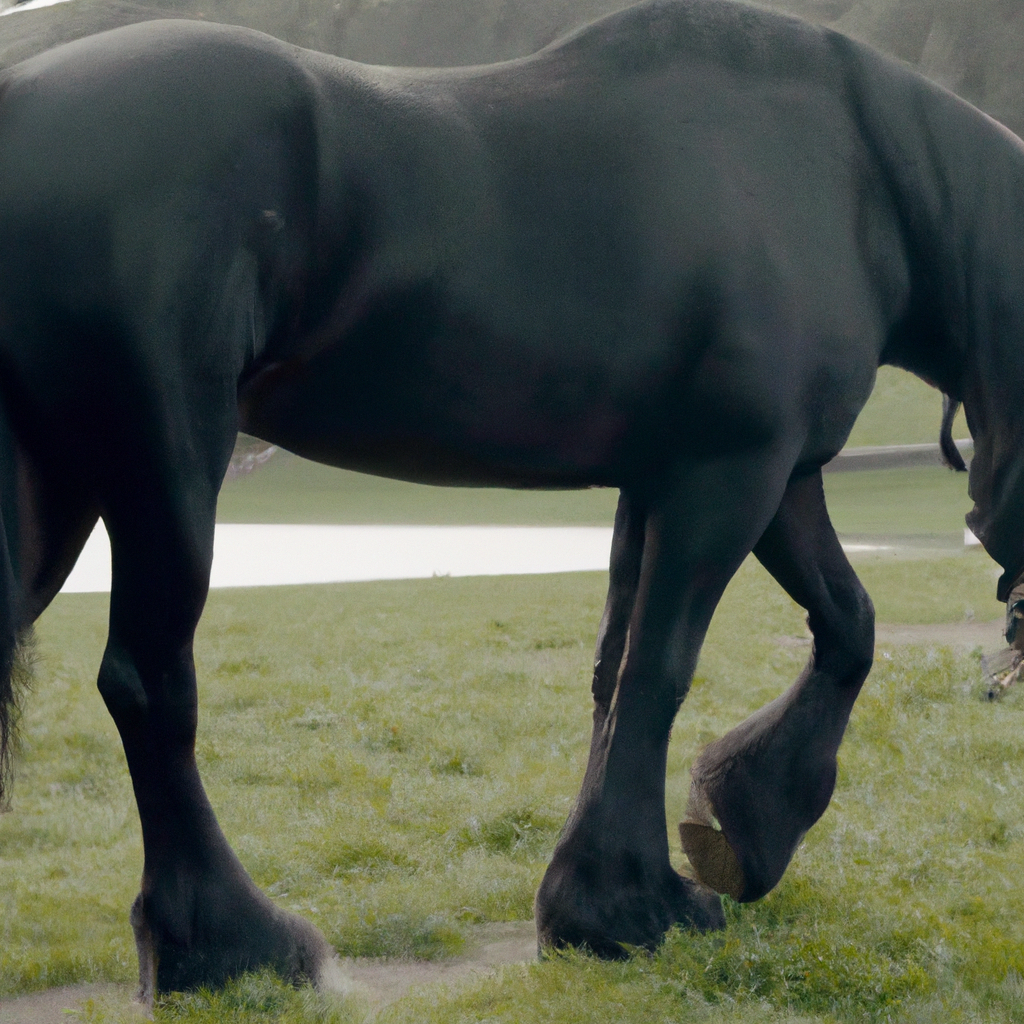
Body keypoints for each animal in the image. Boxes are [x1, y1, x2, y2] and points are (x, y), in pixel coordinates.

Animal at [0, 0, 1015, 999]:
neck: (852, 178)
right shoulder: (738, 472)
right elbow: (666, 669)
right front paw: (645, 897)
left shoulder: (706, 477)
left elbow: (707, 652)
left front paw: (682, 855)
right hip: (163, 461)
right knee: (150, 683)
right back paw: (234, 946)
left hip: (60, 487)